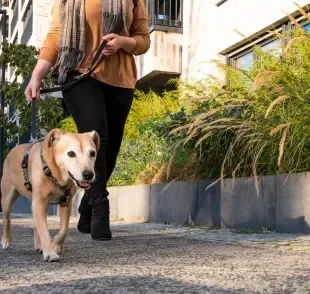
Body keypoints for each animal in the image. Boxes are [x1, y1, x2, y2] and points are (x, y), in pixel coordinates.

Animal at [0, 129, 99, 262]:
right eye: (71, 153)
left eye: (92, 153)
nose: (88, 174)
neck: (54, 172)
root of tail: (13, 149)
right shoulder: (39, 203)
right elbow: (44, 230)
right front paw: (50, 252)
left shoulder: (66, 202)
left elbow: (64, 229)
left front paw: (56, 244)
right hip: (8, 197)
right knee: (7, 219)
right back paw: (6, 240)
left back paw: (39, 245)